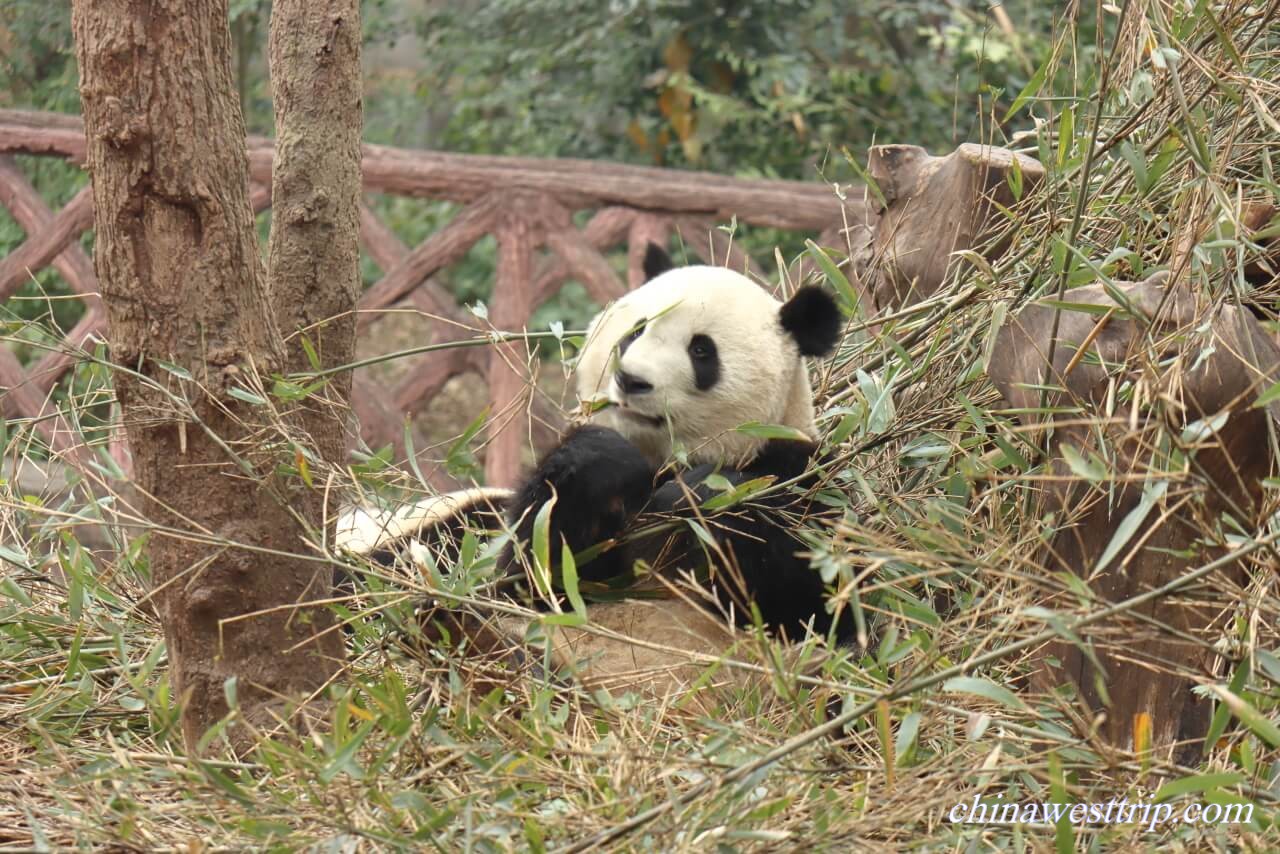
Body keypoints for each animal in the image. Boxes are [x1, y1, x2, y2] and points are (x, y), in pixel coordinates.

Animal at [340, 245, 849, 701]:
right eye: (636, 331)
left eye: (702, 351)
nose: (630, 380)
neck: (660, 465)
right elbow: (536, 572)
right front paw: (606, 463)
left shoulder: (800, 472)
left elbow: (818, 597)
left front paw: (700, 499)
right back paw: (457, 633)